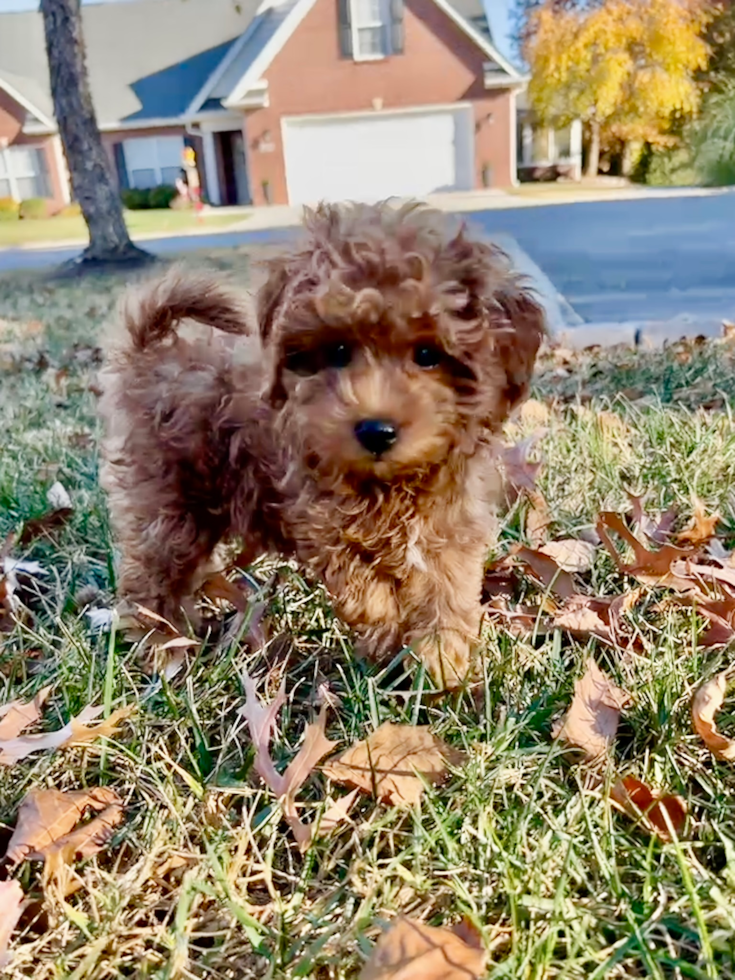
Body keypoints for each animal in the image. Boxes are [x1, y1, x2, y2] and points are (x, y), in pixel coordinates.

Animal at [98, 201, 544, 688]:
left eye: (428, 355)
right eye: (338, 351)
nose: (375, 431)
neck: (390, 483)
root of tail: (148, 358)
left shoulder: (450, 528)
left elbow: (447, 589)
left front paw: (440, 657)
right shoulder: (322, 520)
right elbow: (365, 590)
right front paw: (390, 640)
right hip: (169, 503)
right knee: (152, 578)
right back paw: (162, 646)